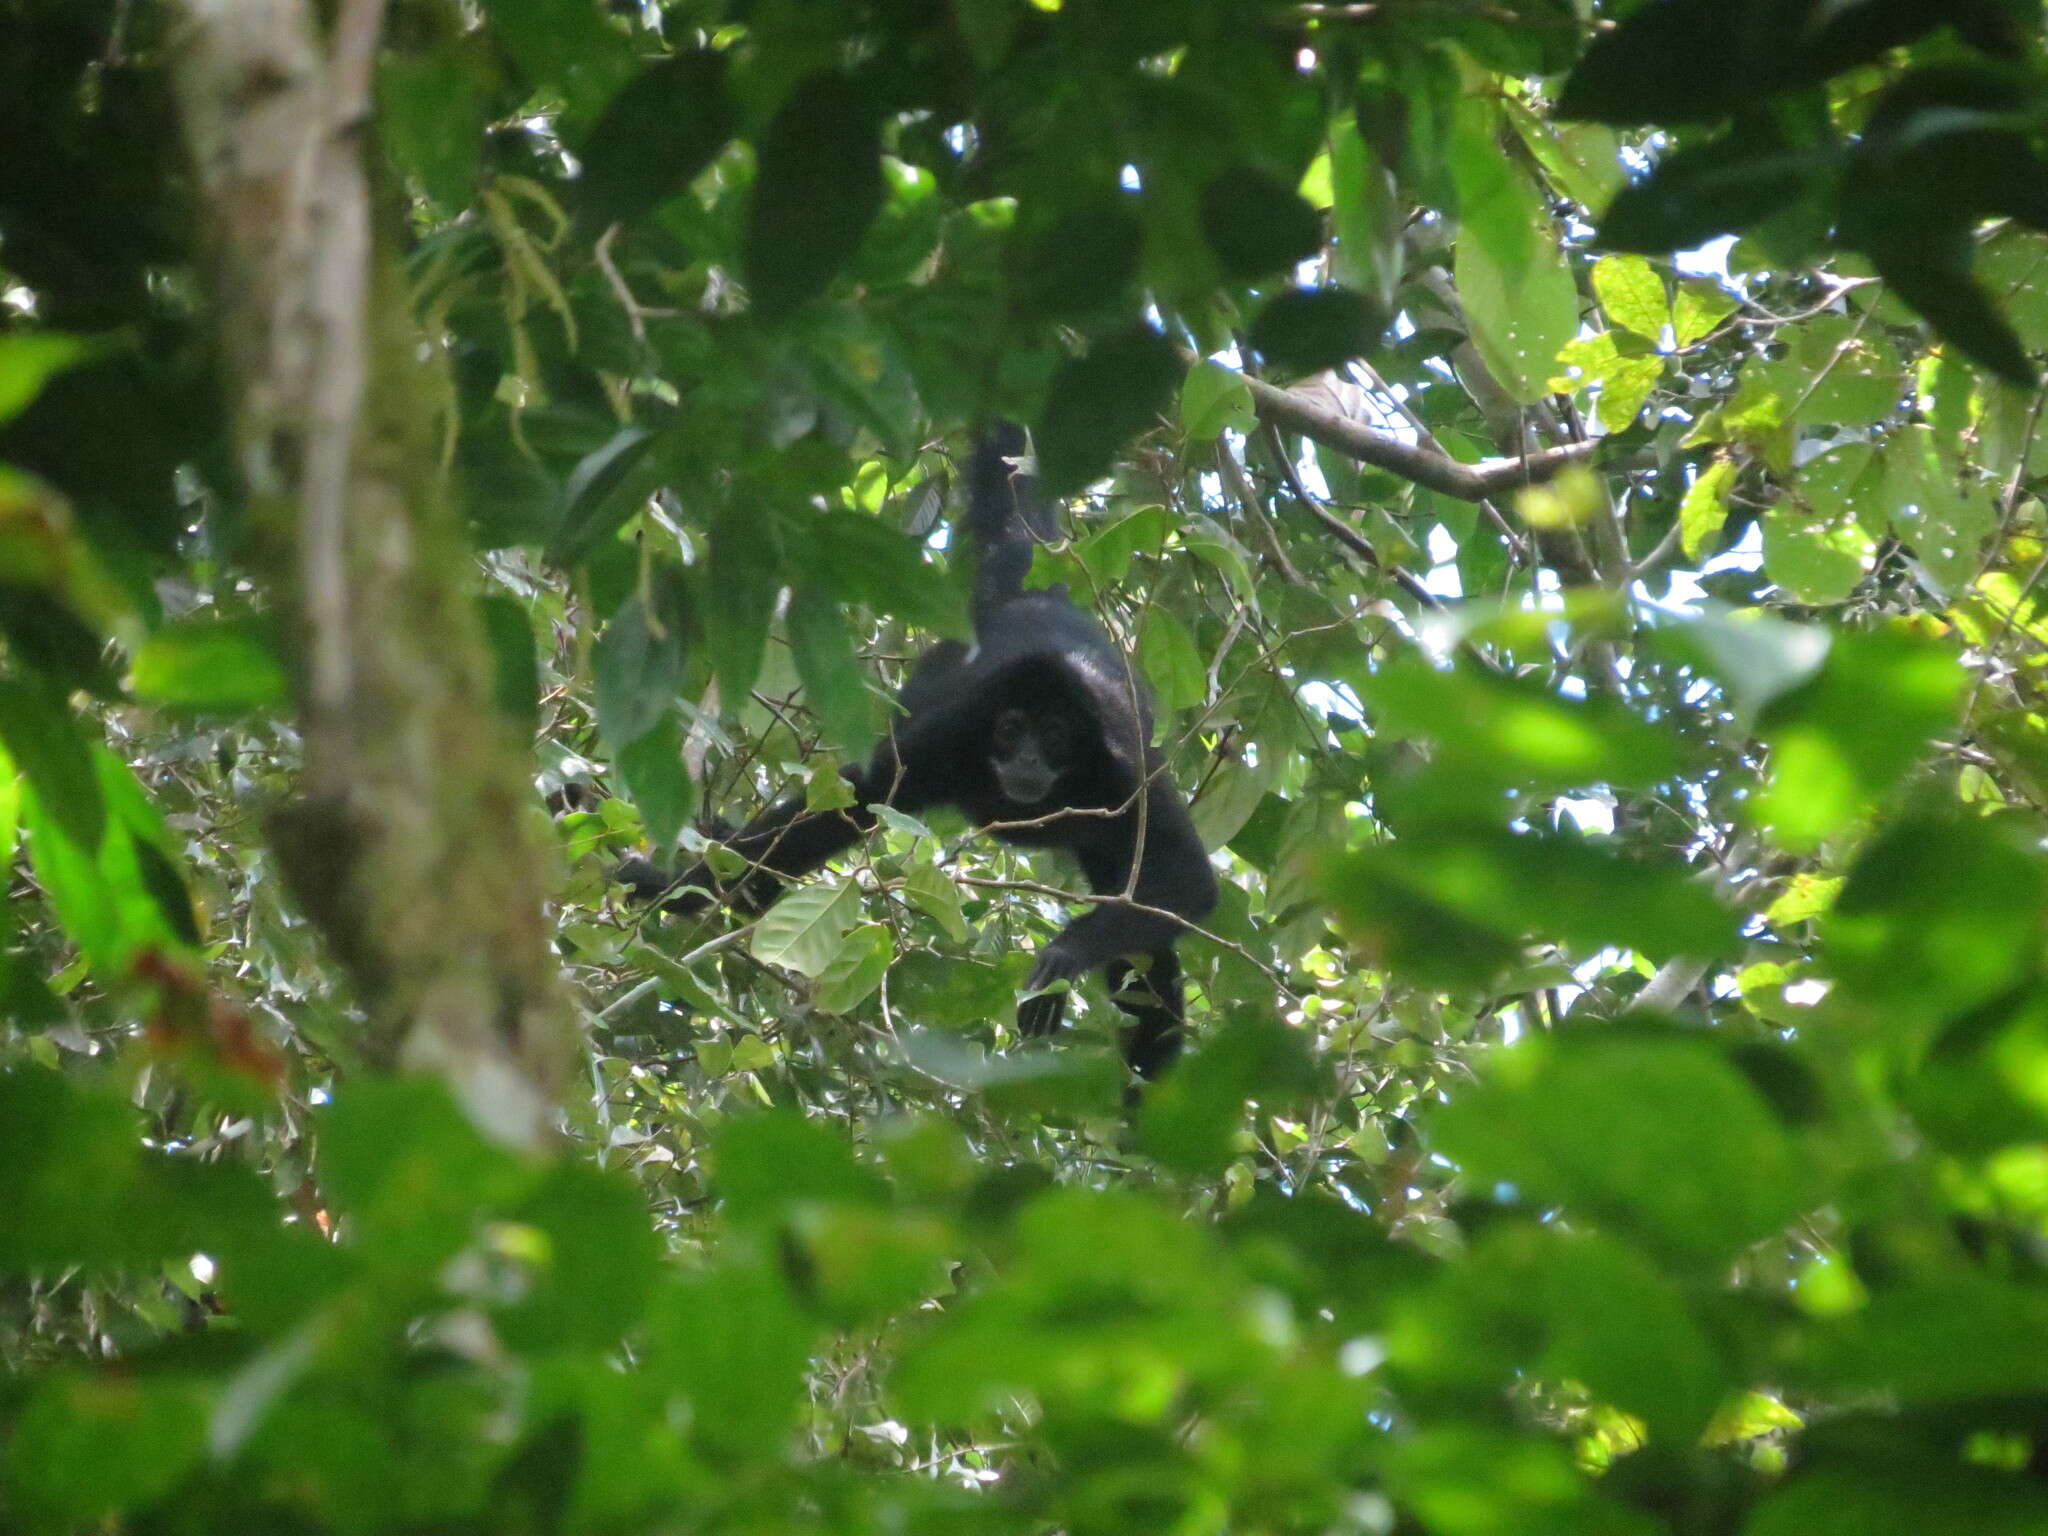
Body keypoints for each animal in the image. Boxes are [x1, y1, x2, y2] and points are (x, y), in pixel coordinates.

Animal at [618, 415, 1212, 1073]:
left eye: (1055, 734)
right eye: (1011, 729)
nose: (1029, 758)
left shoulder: (1124, 765)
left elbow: (1185, 883)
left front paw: (1065, 954)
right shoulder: (948, 740)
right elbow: (848, 801)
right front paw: (673, 887)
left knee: (1145, 937)